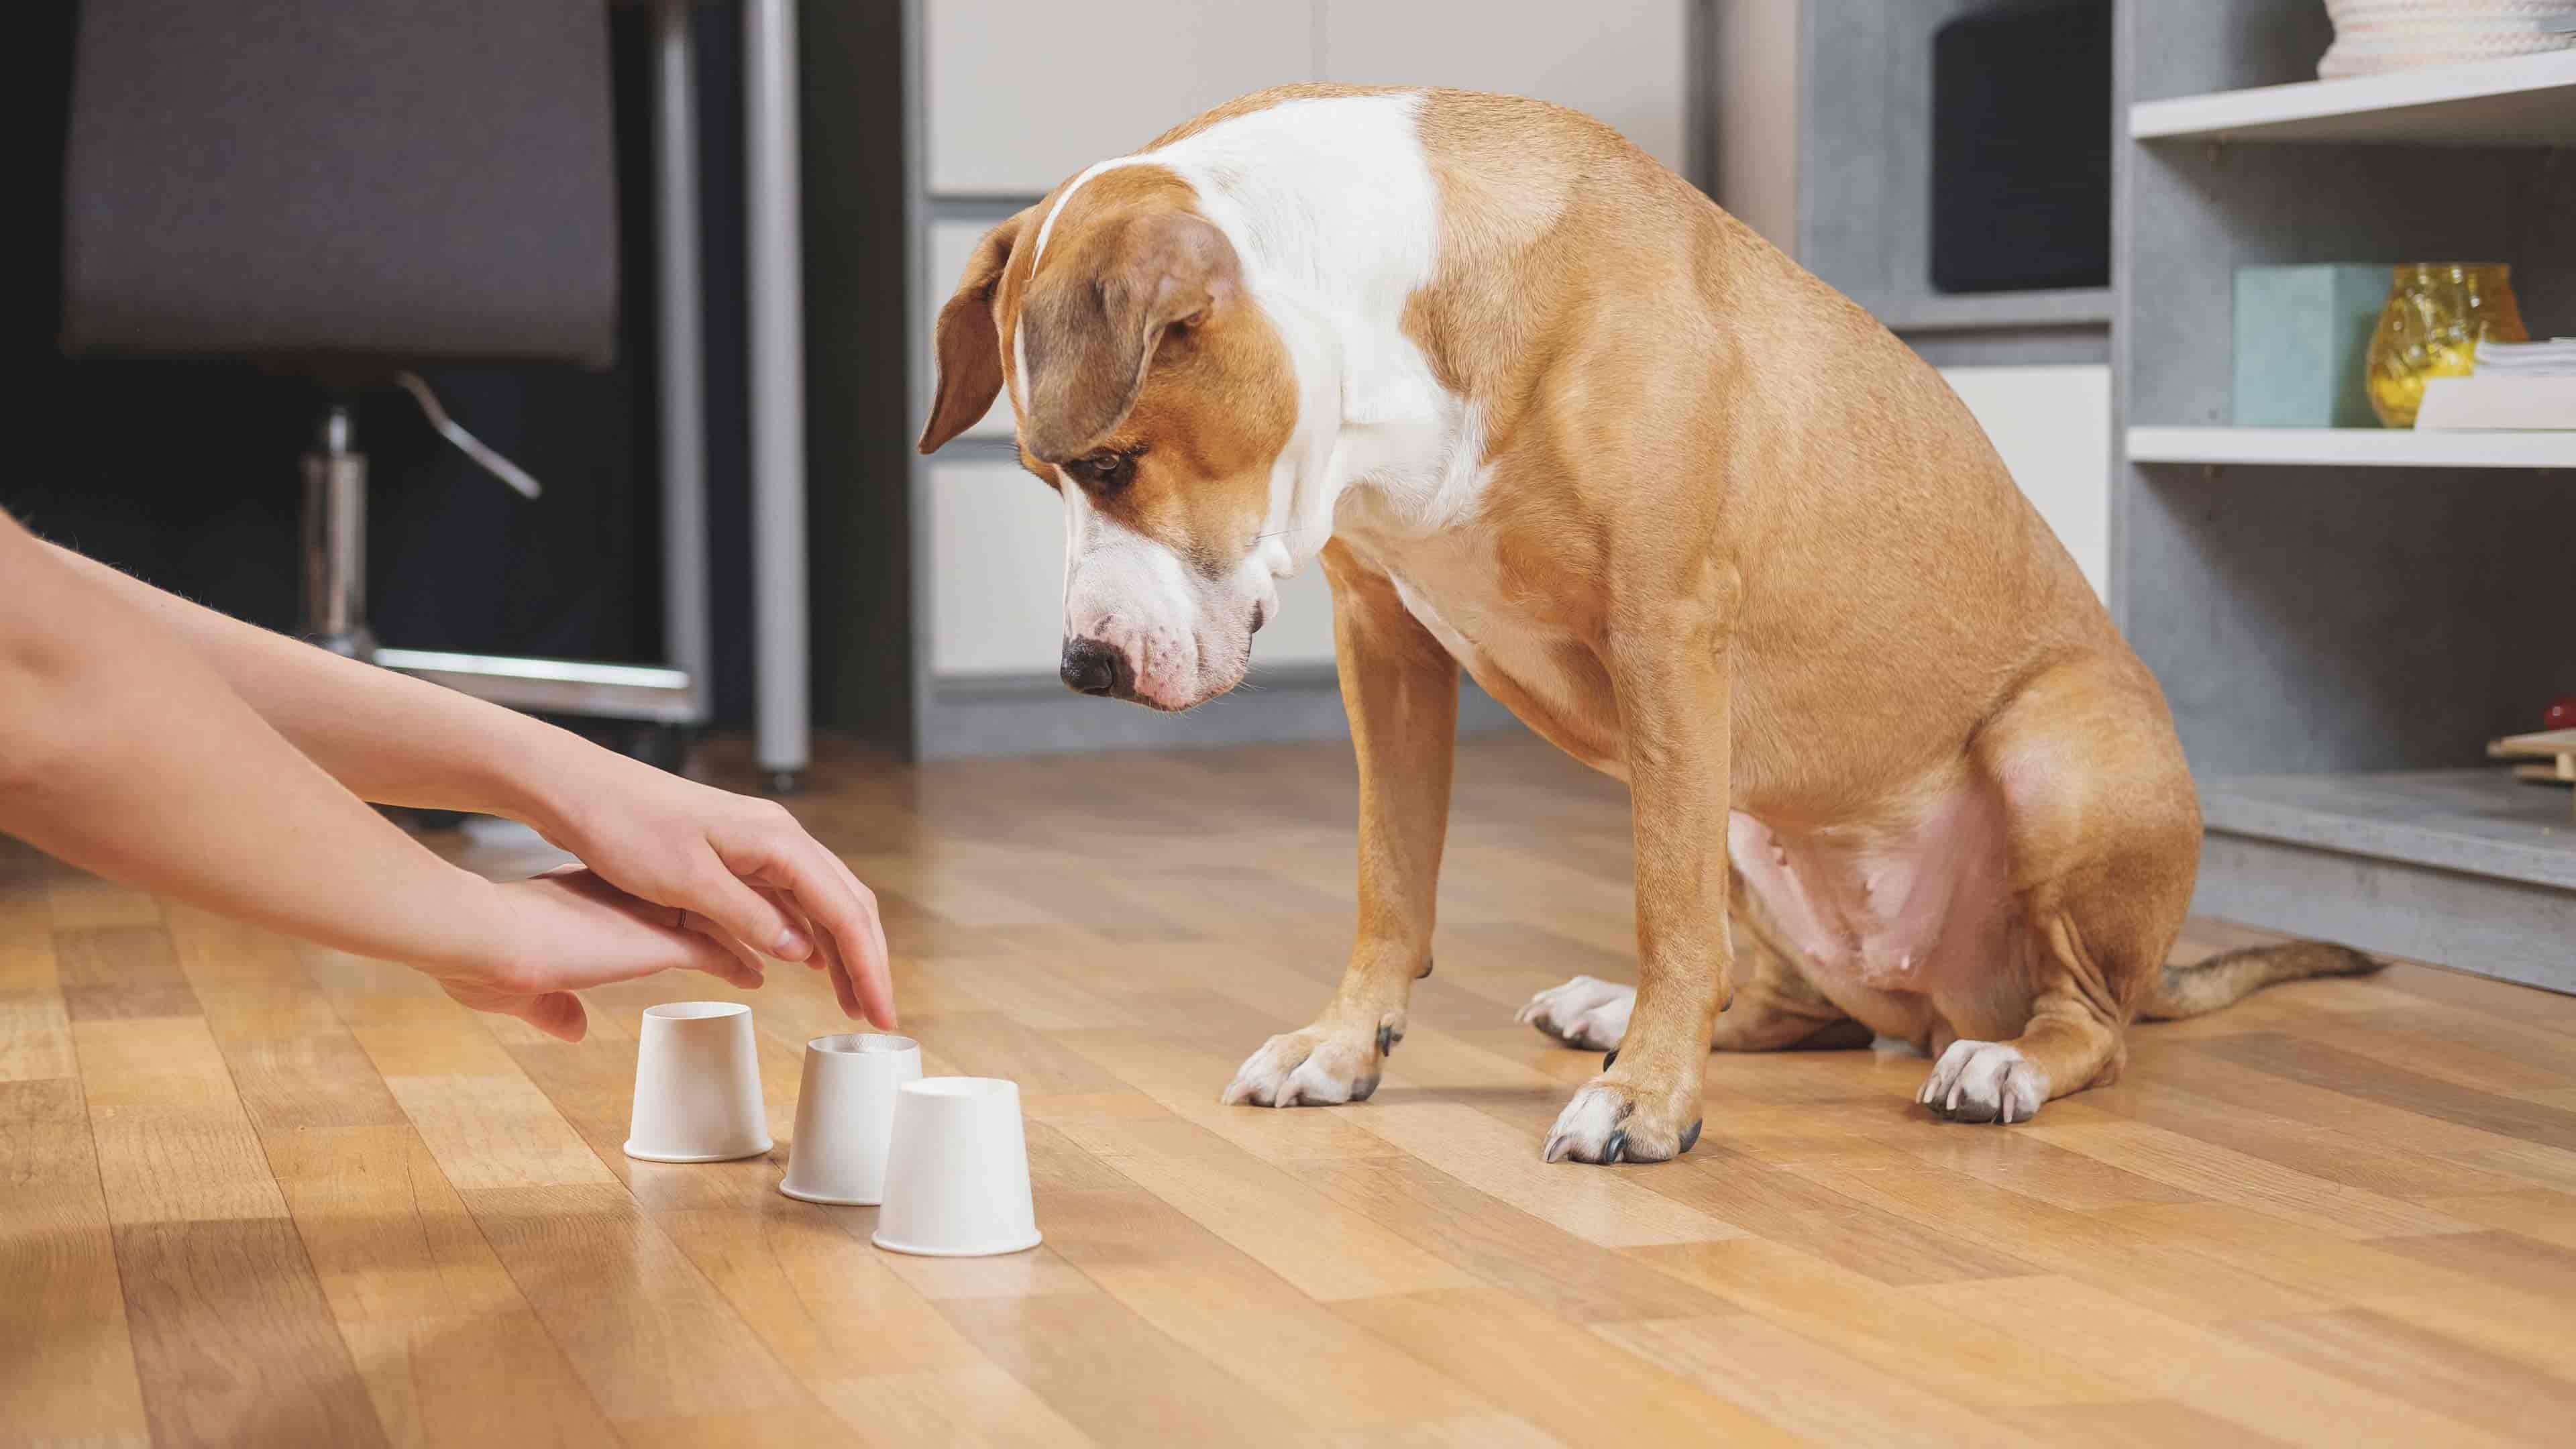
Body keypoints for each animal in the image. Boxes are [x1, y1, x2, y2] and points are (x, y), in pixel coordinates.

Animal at [917, 84, 2359, 1160]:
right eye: (1044, 476)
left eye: (1110, 465)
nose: (1082, 666)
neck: (1396, 314)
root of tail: (1942, 997)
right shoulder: (1384, 642)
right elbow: (1393, 875)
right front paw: (1341, 1044)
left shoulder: (1663, 641)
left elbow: (1664, 907)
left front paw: (1649, 1103)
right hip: (1753, 813)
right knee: (1776, 998)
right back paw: (1611, 1012)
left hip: (2059, 754)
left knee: (2084, 1026)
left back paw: (1994, 1065)